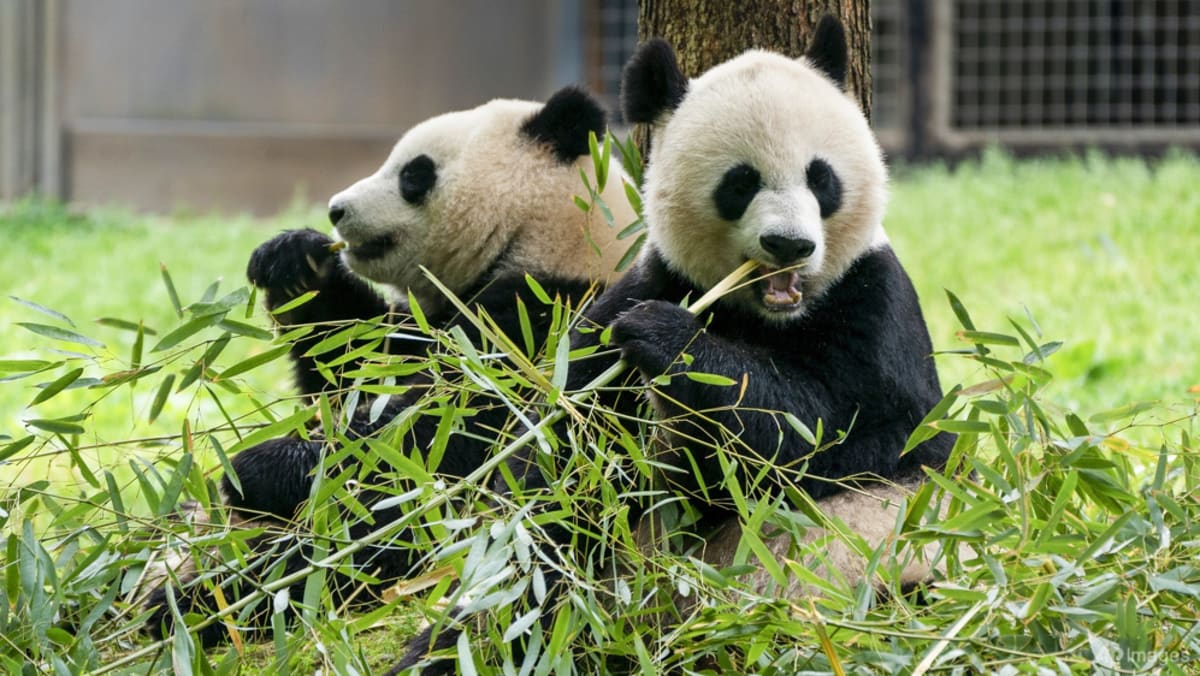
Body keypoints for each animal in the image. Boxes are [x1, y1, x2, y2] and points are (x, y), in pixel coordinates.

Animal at [142, 87, 638, 648]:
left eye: (413, 174)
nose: (336, 209)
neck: (550, 237)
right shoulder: (427, 322)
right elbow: (350, 367)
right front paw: (294, 261)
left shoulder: (546, 323)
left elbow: (440, 438)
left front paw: (257, 468)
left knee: (351, 552)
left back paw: (197, 603)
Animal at [398, 15, 950, 676]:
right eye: (740, 183)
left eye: (822, 178)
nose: (789, 245)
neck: (763, 315)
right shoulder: (645, 285)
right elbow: (566, 465)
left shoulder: (875, 309)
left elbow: (829, 434)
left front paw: (668, 340)